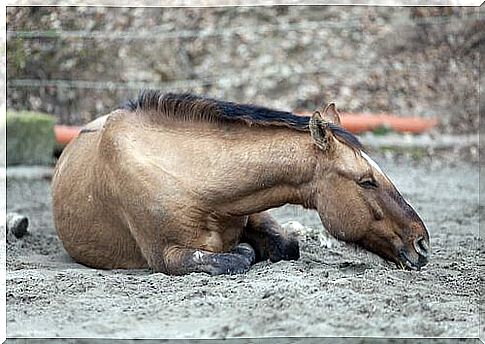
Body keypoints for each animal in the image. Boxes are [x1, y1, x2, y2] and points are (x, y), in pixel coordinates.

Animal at [52, 90, 432, 274]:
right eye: (366, 181)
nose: (422, 244)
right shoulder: (167, 256)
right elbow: (234, 259)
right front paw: (244, 252)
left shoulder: (255, 211)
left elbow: (286, 246)